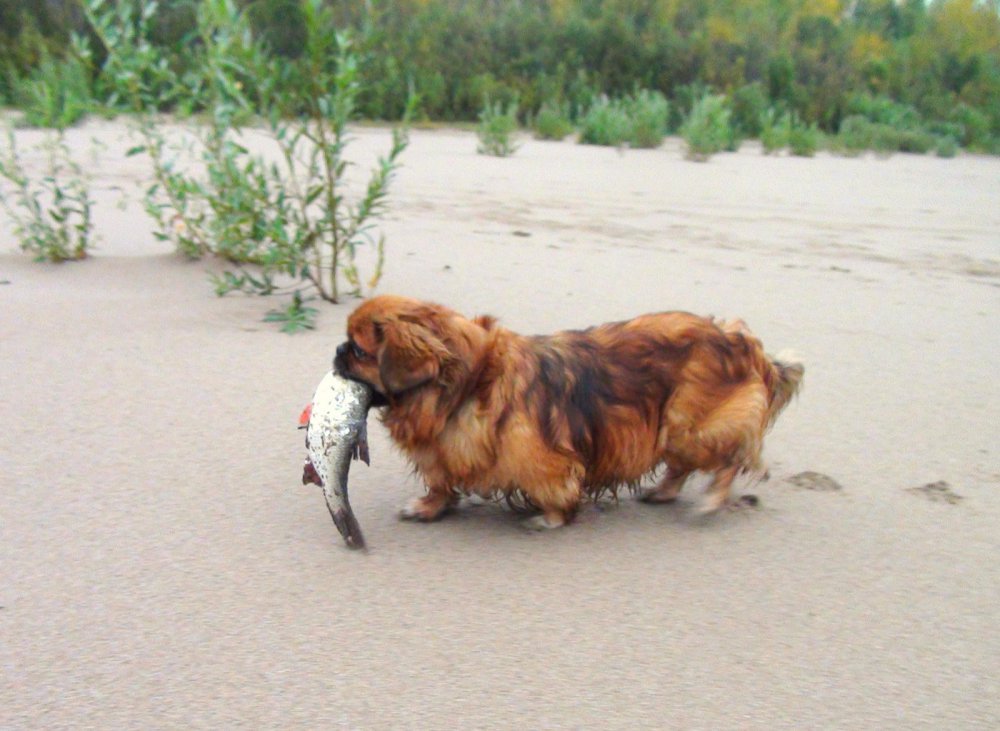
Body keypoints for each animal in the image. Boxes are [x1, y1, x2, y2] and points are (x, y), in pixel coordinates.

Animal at [336, 294, 804, 528]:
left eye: (358, 350)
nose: (336, 351)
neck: (468, 382)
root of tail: (741, 340)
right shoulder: (445, 449)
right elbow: (441, 481)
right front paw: (430, 506)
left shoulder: (544, 460)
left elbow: (555, 488)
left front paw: (551, 517)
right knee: (682, 465)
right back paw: (664, 492)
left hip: (690, 426)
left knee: (730, 459)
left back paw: (712, 499)